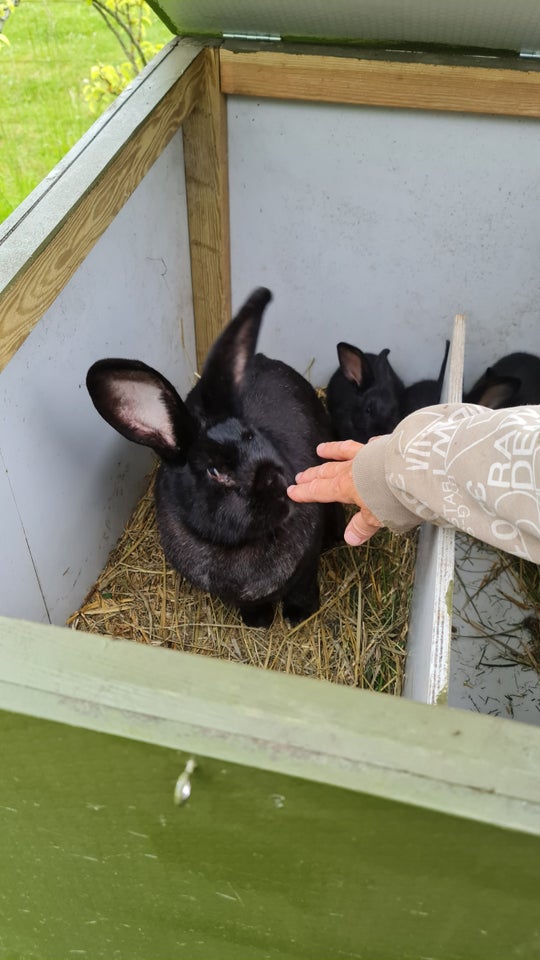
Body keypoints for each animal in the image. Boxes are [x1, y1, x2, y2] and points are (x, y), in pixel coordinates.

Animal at [87, 284, 344, 632]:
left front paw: (298, 616)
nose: (278, 485)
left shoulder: (306, 567)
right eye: (214, 470)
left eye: (254, 436)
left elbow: (302, 589)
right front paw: (258, 622)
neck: (240, 545)